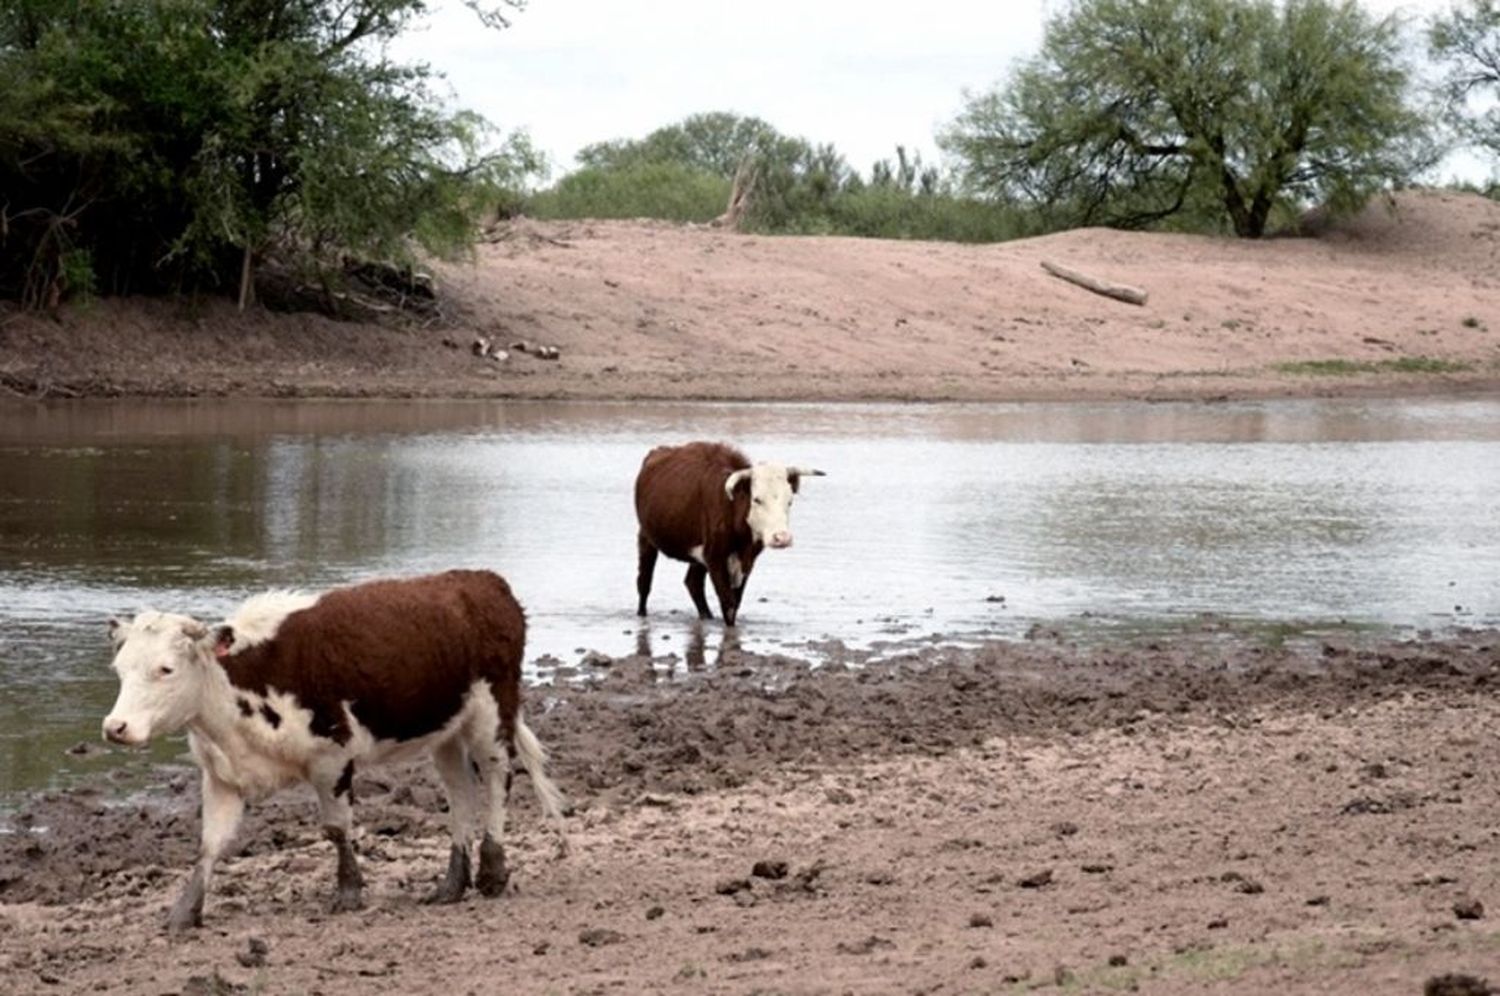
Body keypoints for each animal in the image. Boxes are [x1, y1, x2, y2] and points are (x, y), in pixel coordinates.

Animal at [101, 567, 567, 936]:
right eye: (120, 669)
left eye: (165, 669)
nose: (114, 728)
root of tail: (482, 581)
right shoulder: (221, 775)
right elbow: (209, 845)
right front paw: (185, 911)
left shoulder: (332, 759)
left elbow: (337, 829)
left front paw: (348, 891)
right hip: (446, 731)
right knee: (460, 796)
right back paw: (452, 884)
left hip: (491, 712)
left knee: (497, 779)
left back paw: (492, 872)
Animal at [630, 441, 828, 627]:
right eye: (757, 499)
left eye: (790, 501)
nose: (782, 538)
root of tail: (657, 452)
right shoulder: (715, 558)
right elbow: (729, 604)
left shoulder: (746, 560)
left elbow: (736, 601)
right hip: (645, 536)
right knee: (644, 581)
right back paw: (641, 614)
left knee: (693, 582)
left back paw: (707, 617)